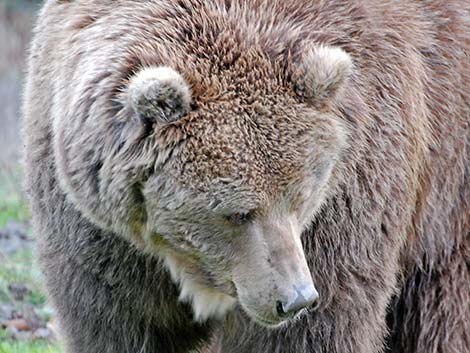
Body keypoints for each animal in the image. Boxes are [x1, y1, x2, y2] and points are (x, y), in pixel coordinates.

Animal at [23, 0, 468, 352]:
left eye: (301, 198)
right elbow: (120, 321)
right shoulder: (103, 230)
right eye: (236, 213)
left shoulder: (351, 187)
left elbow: (316, 326)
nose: (295, 299)